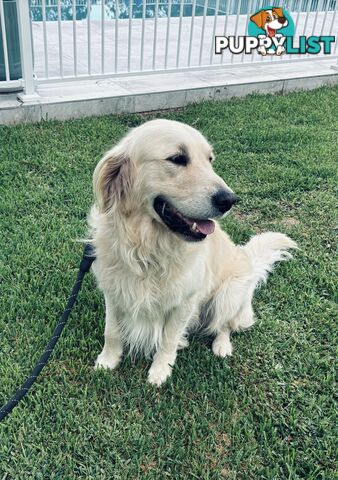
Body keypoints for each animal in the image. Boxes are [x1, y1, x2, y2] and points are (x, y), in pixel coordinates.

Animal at [88, 120, 298, 386]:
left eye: (210, 160)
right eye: (177, 158)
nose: (230, 200)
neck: (147, 247)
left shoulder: (185, 301)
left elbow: (168, 339)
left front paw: (160, 371)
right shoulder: (114, 290)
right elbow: (112, 331)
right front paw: (107, 361)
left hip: (229, 293)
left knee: (224, 325)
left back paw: (222, 346)